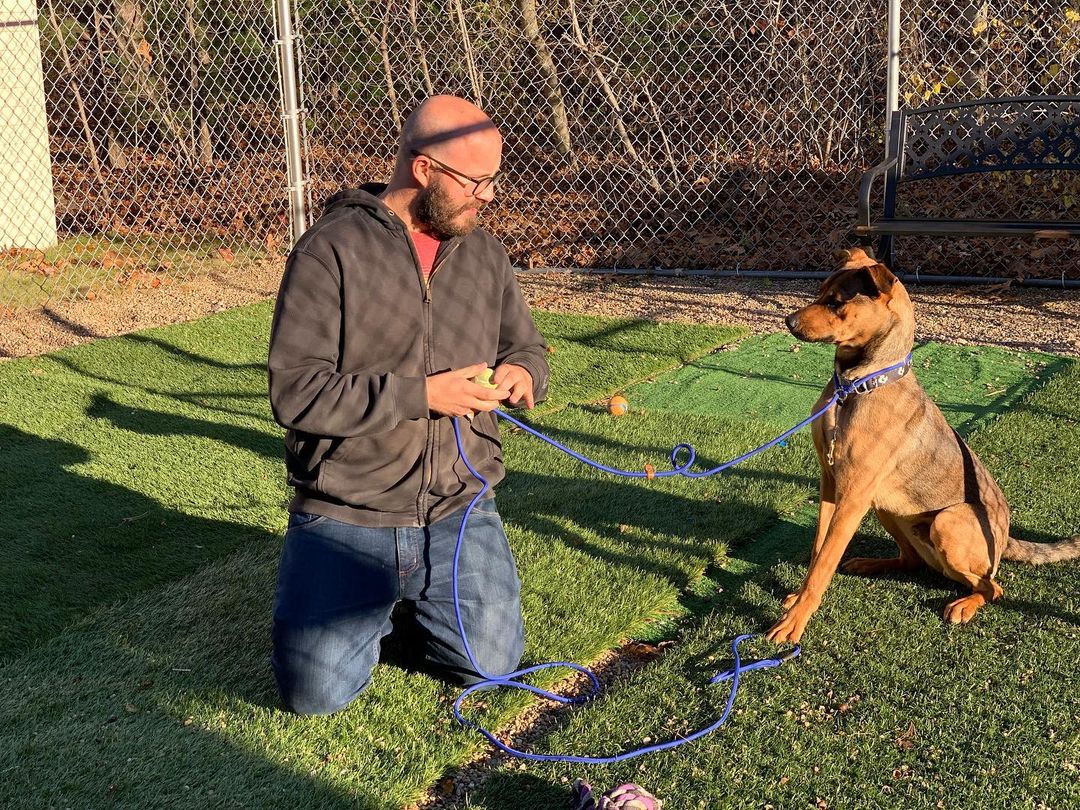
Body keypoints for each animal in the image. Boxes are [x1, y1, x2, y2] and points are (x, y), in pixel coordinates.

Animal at [768, 247, 1080, 648]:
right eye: (820, 291)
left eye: (837, 302)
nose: (788, 321)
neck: (855, 387)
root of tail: (1005, 537)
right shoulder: (831, 482)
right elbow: (817, 550)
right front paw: (796, 599)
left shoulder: (853, 496)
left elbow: (823, 564)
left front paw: (794, 620)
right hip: (886, 506)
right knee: (911, 561)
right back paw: (870, 564)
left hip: (946, 521)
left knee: (992, 587)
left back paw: (964, 604)